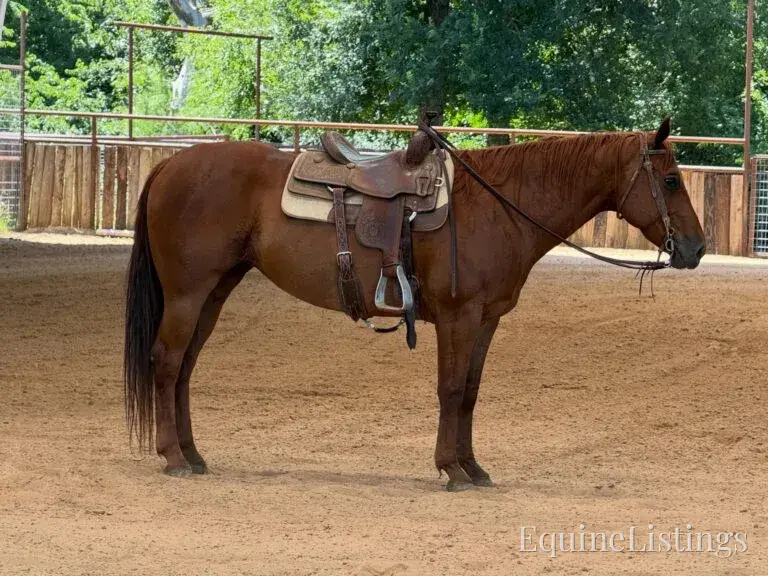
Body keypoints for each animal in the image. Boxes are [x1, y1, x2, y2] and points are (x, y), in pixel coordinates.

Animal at [124, 118, 705, 491]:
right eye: (671, 180)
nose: (696, 249)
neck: (496, 207)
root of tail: (170, 167)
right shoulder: (457, 316)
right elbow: (450, 389)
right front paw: (451, 469)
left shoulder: (485, 320)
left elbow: (469, 392)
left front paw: (473, 468)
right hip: (188, 293)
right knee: (167, 362)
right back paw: (173, 457)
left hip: (215, 292)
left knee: (184, 369)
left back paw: (194, 454)